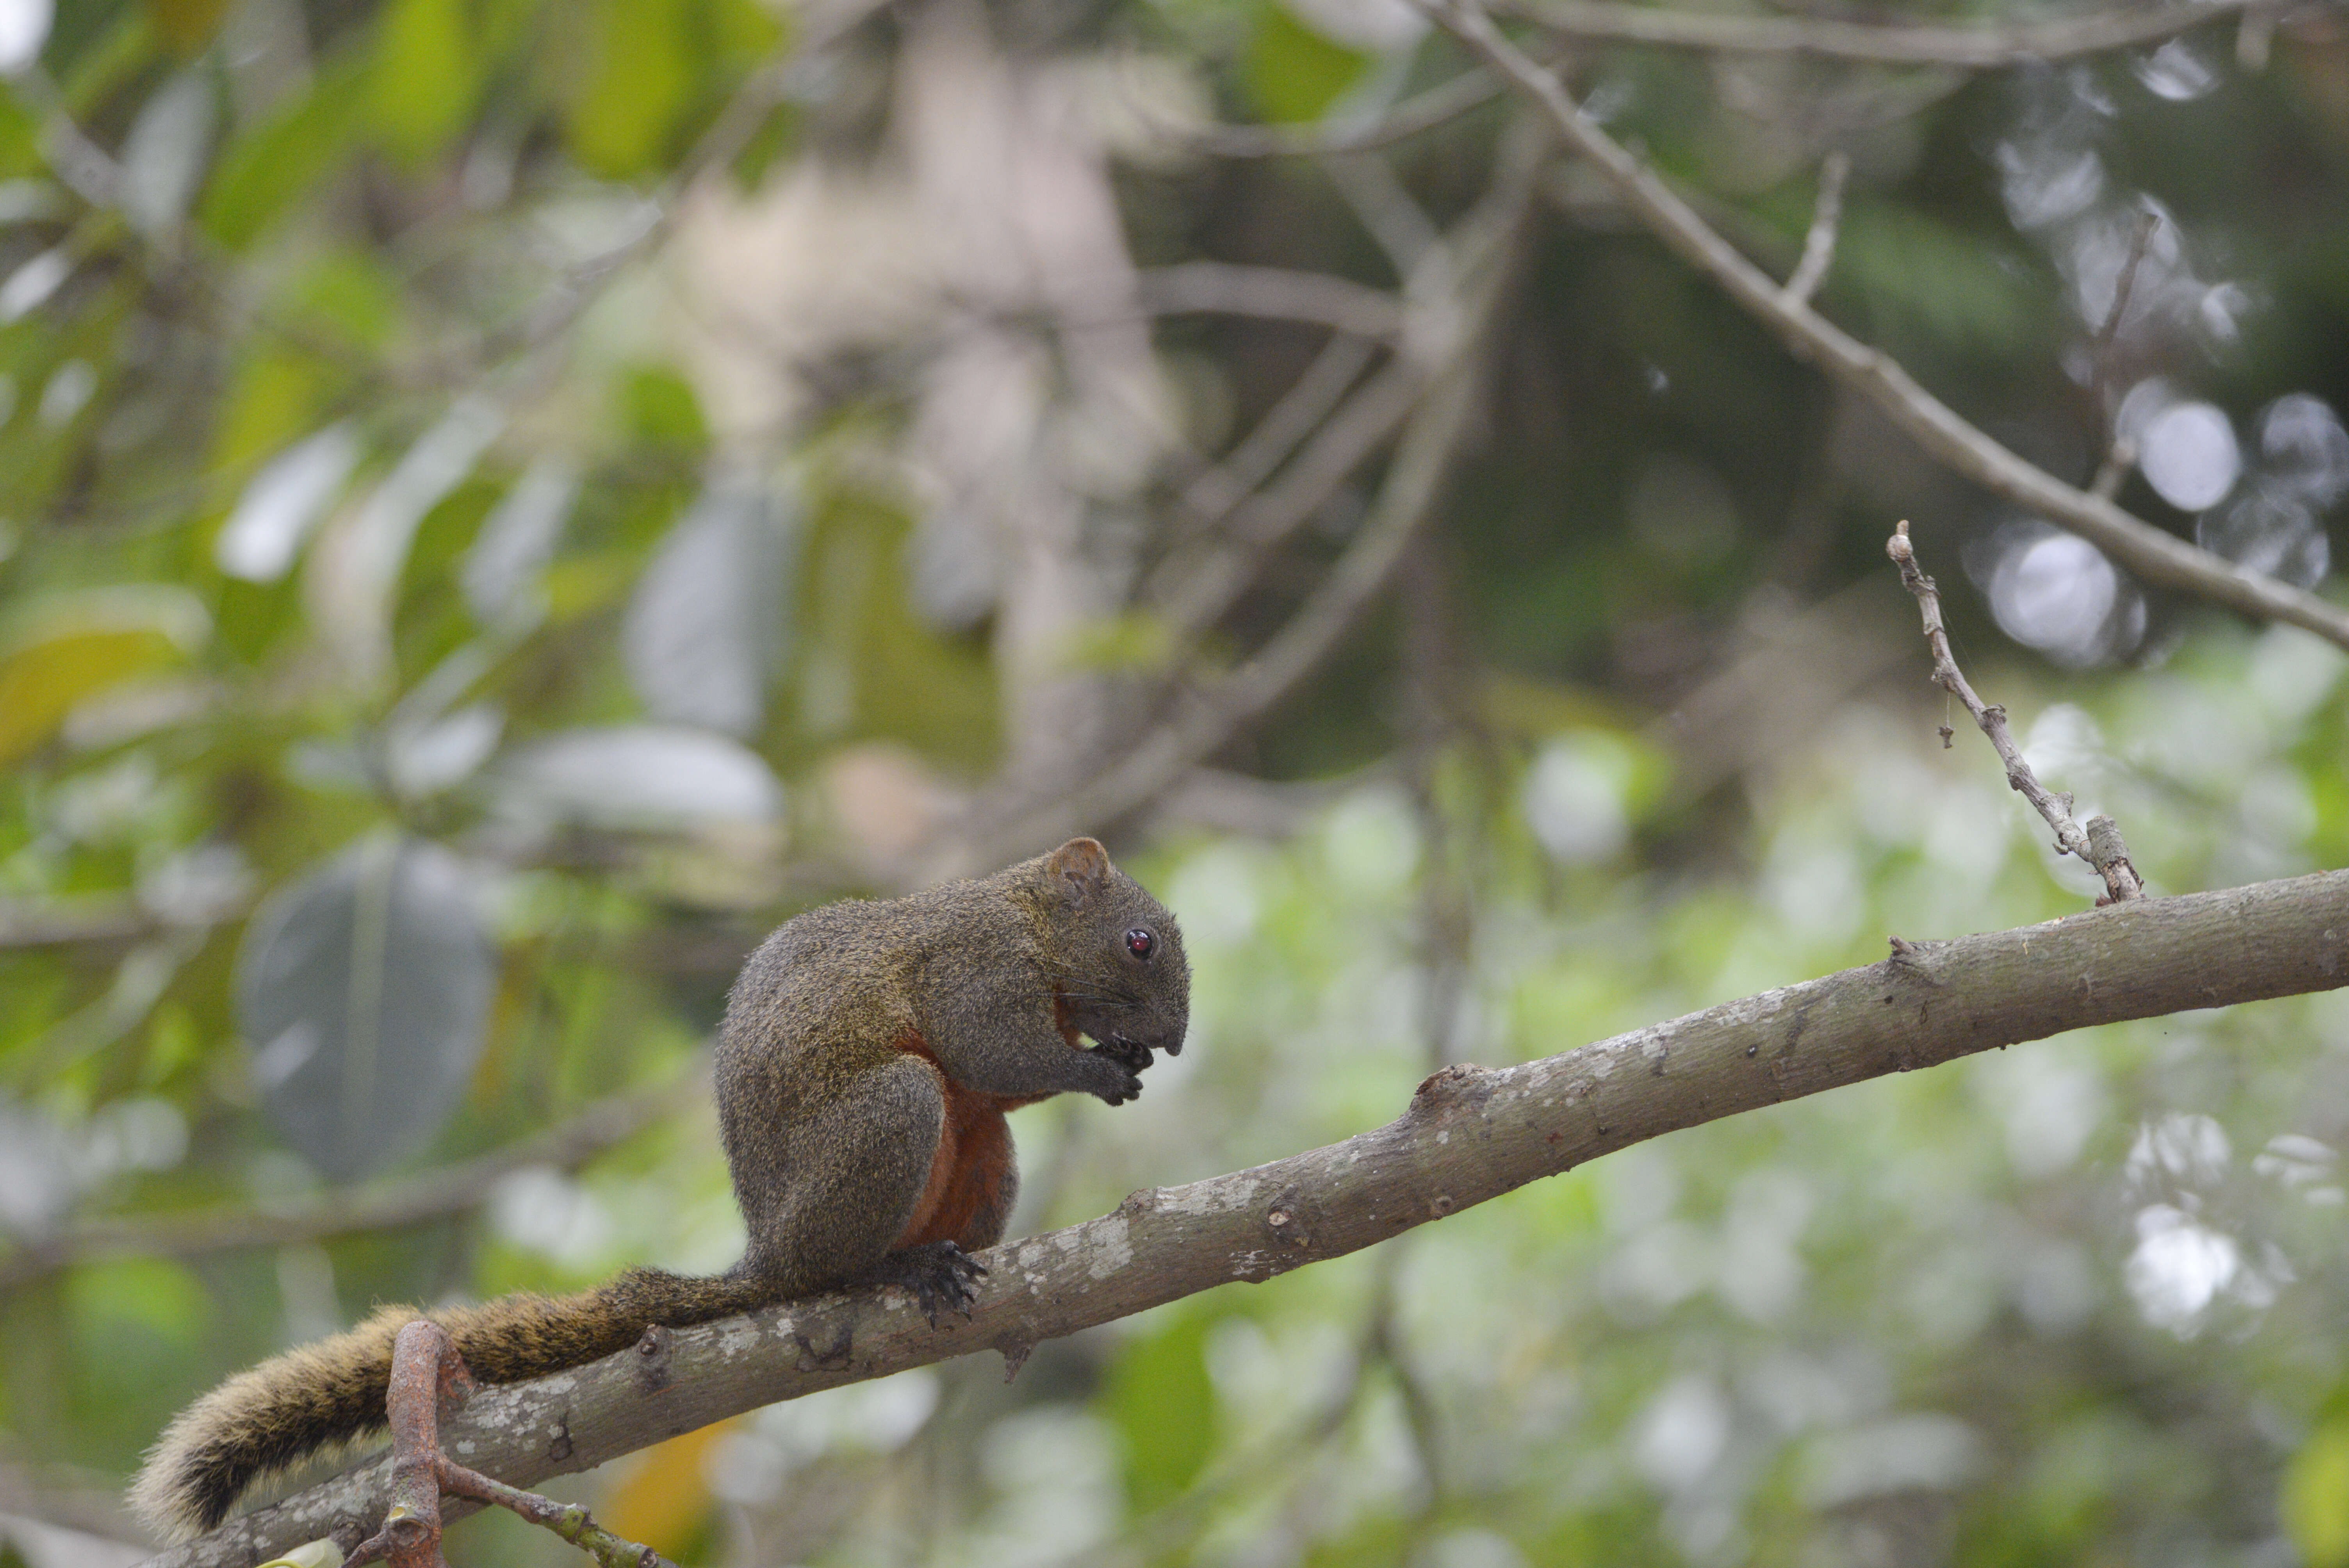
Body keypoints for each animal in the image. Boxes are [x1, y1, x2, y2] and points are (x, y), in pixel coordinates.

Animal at [128, 840, 1184, 1539]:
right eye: (1137, 942)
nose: (1174, 1038)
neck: (1027, 919)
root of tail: (767, 1254)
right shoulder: (974, 968)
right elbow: (992, 1051)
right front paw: (1097, 1067)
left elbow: (1002, 1082)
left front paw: (1121, 1058)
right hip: (887, 1124)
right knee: (843, 1255)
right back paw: (902, 1266)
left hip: (984, 1158)